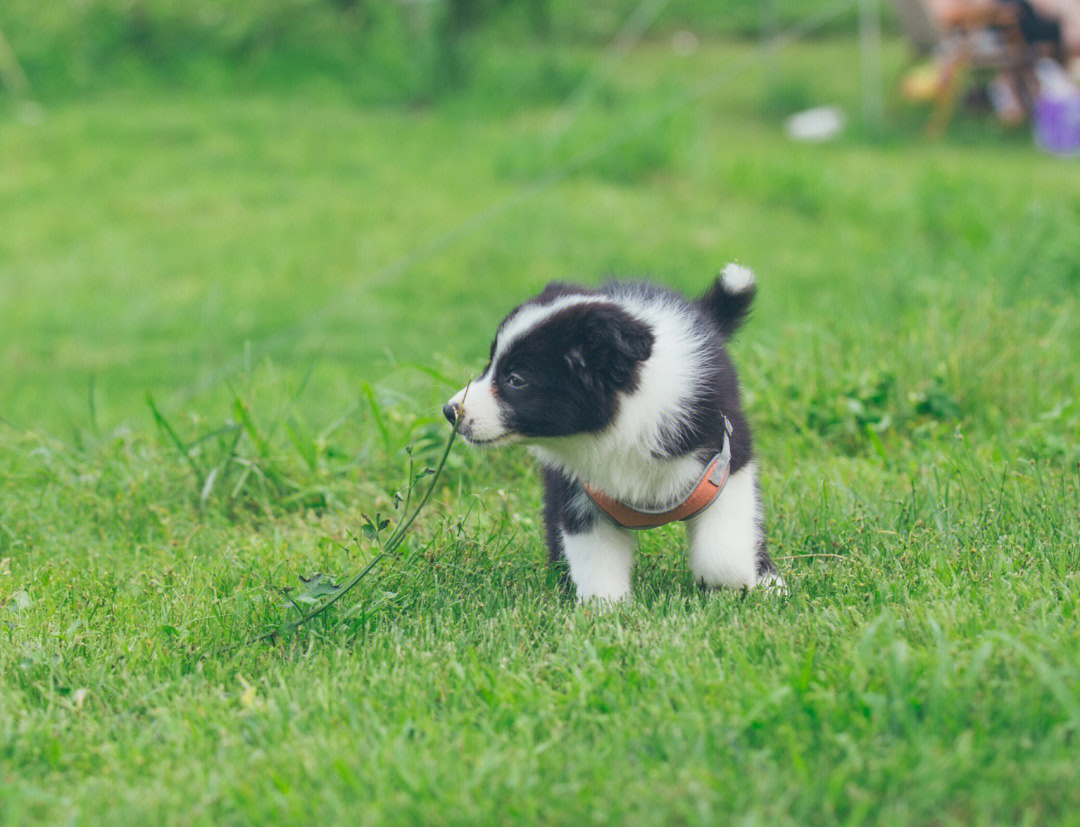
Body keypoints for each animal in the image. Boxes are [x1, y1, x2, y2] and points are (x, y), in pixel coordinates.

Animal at [442, 265, 781, 604]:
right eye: (490, 365)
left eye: (515, 379)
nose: (450, 411)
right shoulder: (579, 490)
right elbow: (594, 554)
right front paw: (605, 607)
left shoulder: (724, 460)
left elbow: (723, 557)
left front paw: (734, 583)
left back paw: (771, 581)